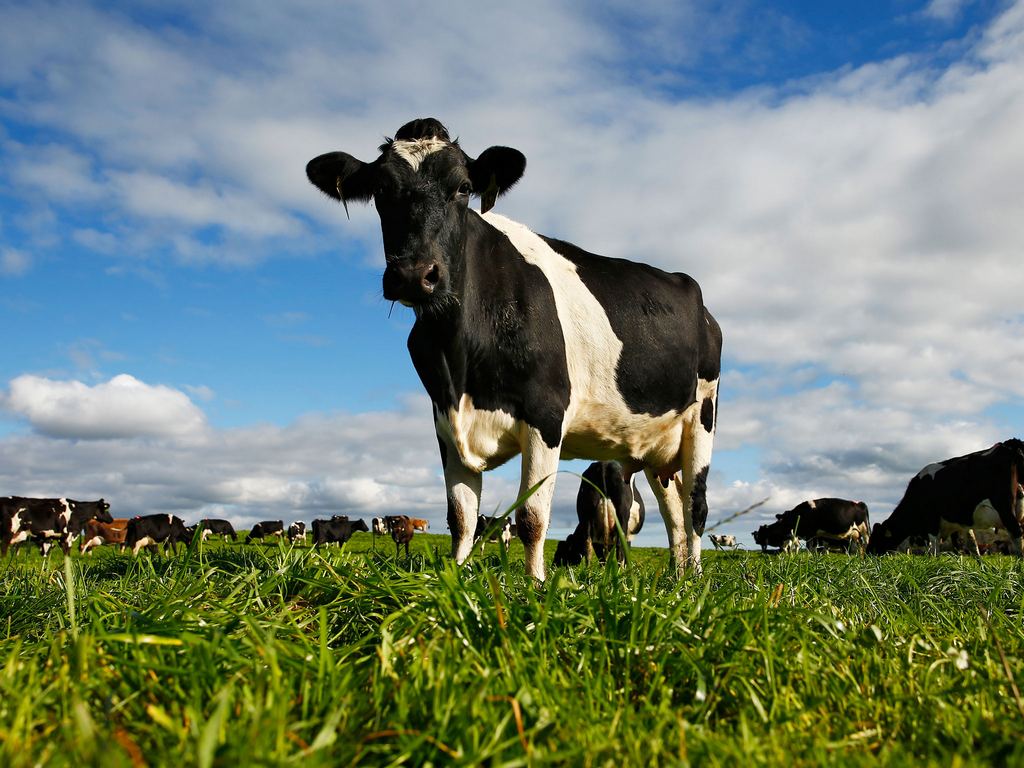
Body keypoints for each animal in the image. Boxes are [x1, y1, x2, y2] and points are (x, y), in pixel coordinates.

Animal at [864, 438, 1024, 561]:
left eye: (876, 538)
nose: (866, 556)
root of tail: (1009, 444)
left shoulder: (932, 521)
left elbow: (934, 549)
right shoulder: (960, 525)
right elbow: (970, 546)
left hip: (1004, 509)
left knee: (1017, 533)